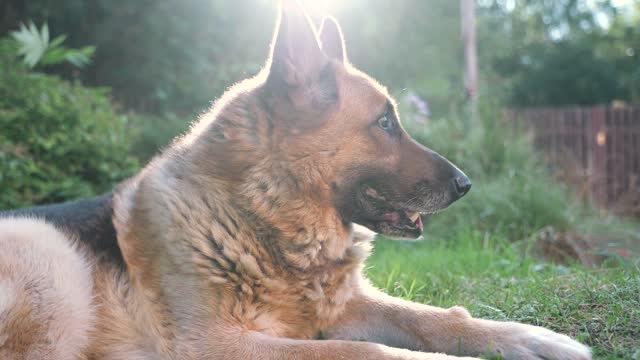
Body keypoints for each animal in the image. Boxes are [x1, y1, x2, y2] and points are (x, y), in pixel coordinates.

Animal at [0, 1, 592, 358]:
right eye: (385, 123)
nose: (466, 184)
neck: (262, 218)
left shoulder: (348, 305)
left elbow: (438, 317)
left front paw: (522, 337)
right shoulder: (221, 343)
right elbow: (367, 349)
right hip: (52, 261)